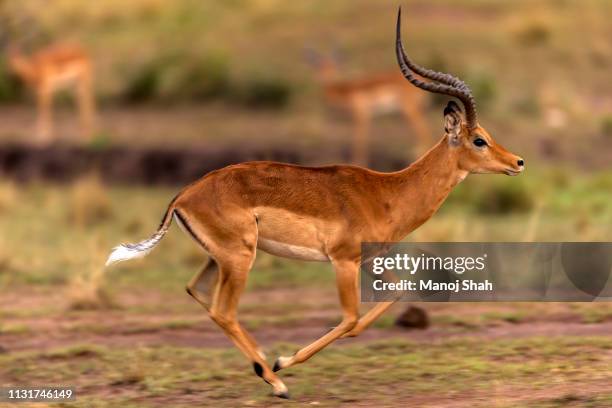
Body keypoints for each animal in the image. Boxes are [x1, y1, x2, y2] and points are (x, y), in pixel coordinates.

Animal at [106, 7, 524, 400]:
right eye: (479, 140)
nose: (518, 162)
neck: (387, 192)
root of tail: (184, 194)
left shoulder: (368, 259)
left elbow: (393, 294)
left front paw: (281, 360)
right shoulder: (343, 261)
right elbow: (350, 318)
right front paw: (284, 360)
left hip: (220, 258)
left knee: (200, 294)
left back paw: (265, 369)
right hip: (240, 259)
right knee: (224, 310)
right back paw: (276, 380)